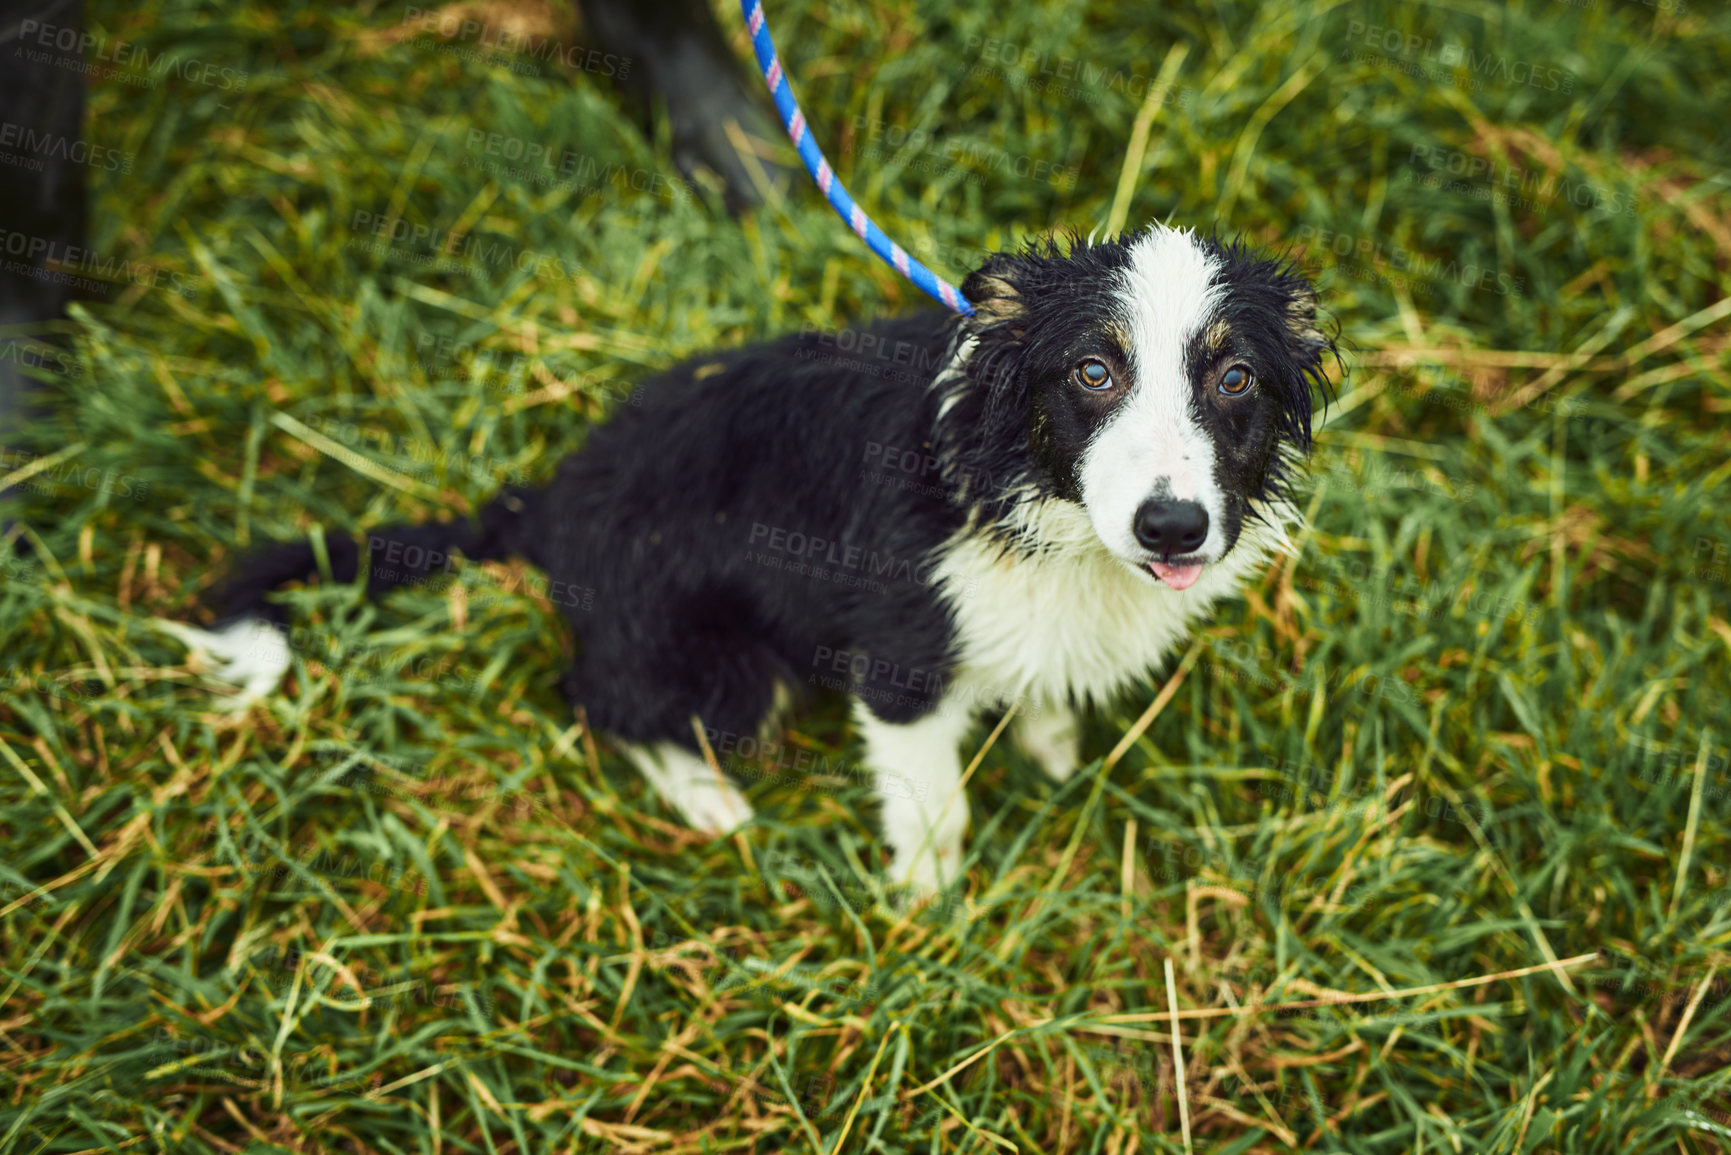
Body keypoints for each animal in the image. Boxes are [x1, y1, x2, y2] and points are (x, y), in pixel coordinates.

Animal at [162, 223, 1329, 893]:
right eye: (1093, 371)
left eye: (1232, 380)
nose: (1173, 528)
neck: (1029, 488)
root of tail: (545, 499)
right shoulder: (899, 662)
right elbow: (931, 805)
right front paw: (929, 912)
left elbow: (1044, 680)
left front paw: (1048, 743)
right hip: (721, 661)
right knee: (599, 697)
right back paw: (706, 797)